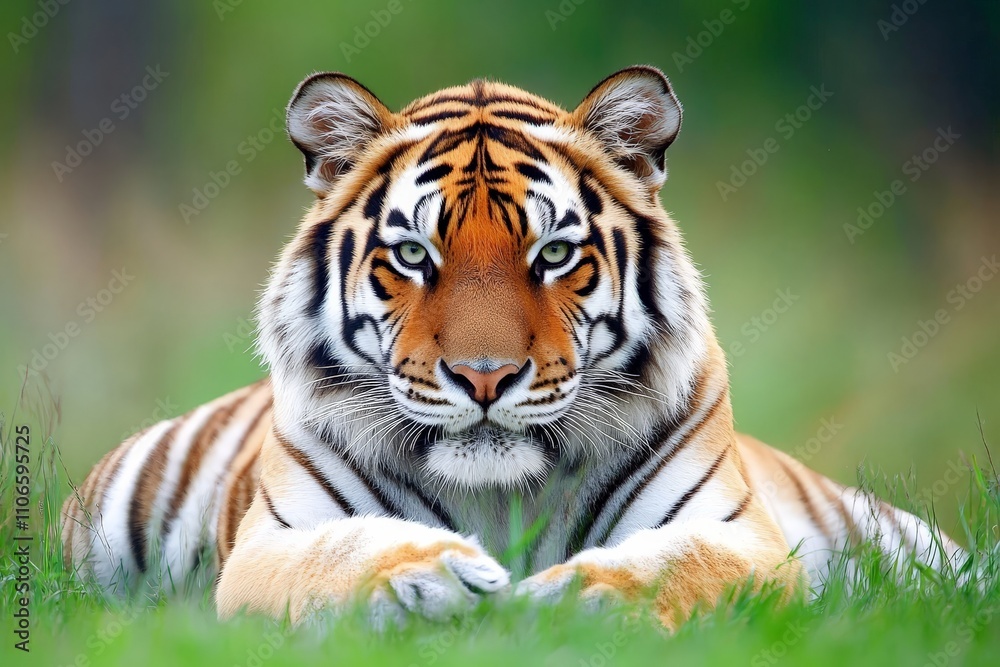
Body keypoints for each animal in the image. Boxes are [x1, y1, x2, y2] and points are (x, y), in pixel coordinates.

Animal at [61, 66, 964, 629]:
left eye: (554, 253)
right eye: (413, 254)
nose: (485, 377)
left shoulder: (740, 535)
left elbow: (673, 565)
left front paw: (560, 600)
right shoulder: (270, 540)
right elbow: (335, 554)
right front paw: (431, 575)